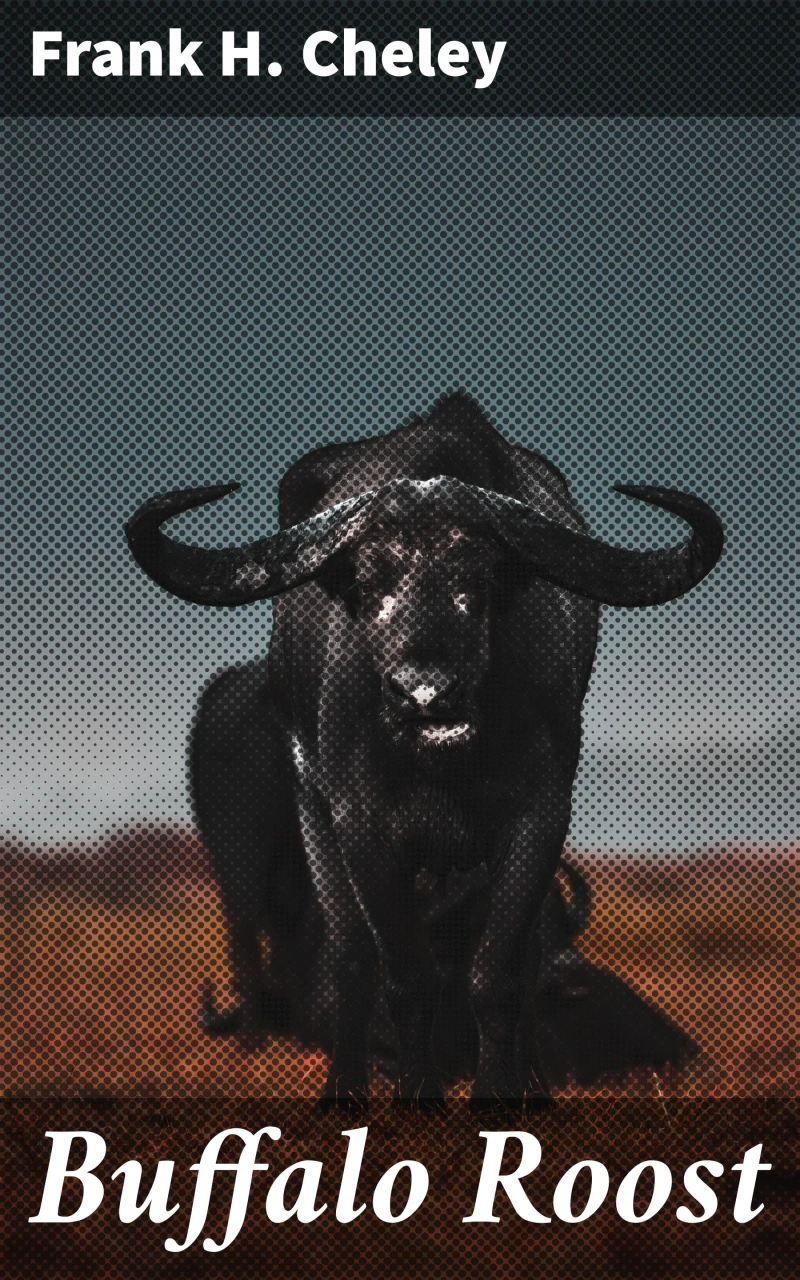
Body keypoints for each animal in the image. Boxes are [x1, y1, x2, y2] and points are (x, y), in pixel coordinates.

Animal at [126, 393, 723, 1108]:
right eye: (368, 583)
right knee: (337, 950)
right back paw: (336, 1078)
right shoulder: (362, 825)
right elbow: (403, 973)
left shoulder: (541, 815)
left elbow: (501, 972)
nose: (426, 692)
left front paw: (505, 1091)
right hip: (299, 819)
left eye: (479, 581)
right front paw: (416, 1092)